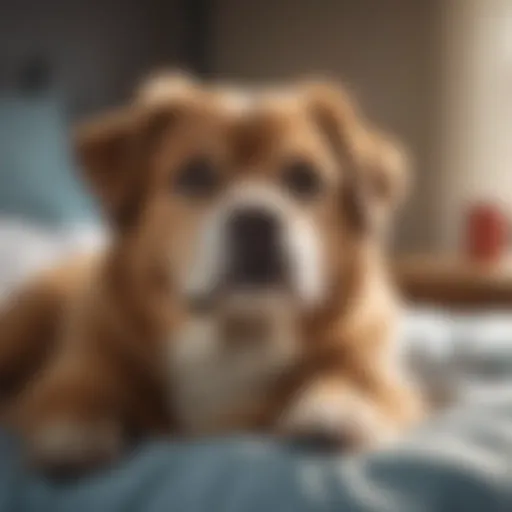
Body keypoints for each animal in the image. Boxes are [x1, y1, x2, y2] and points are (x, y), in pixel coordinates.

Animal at [0, 73, 422, 472]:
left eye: (304, 178)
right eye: (196, 175)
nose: (256, 221)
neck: (235, 334)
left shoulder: (388, 381)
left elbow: (352, 379)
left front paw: (339, 408)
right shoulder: (72, 371)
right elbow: (73, 395)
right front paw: (74, 432)